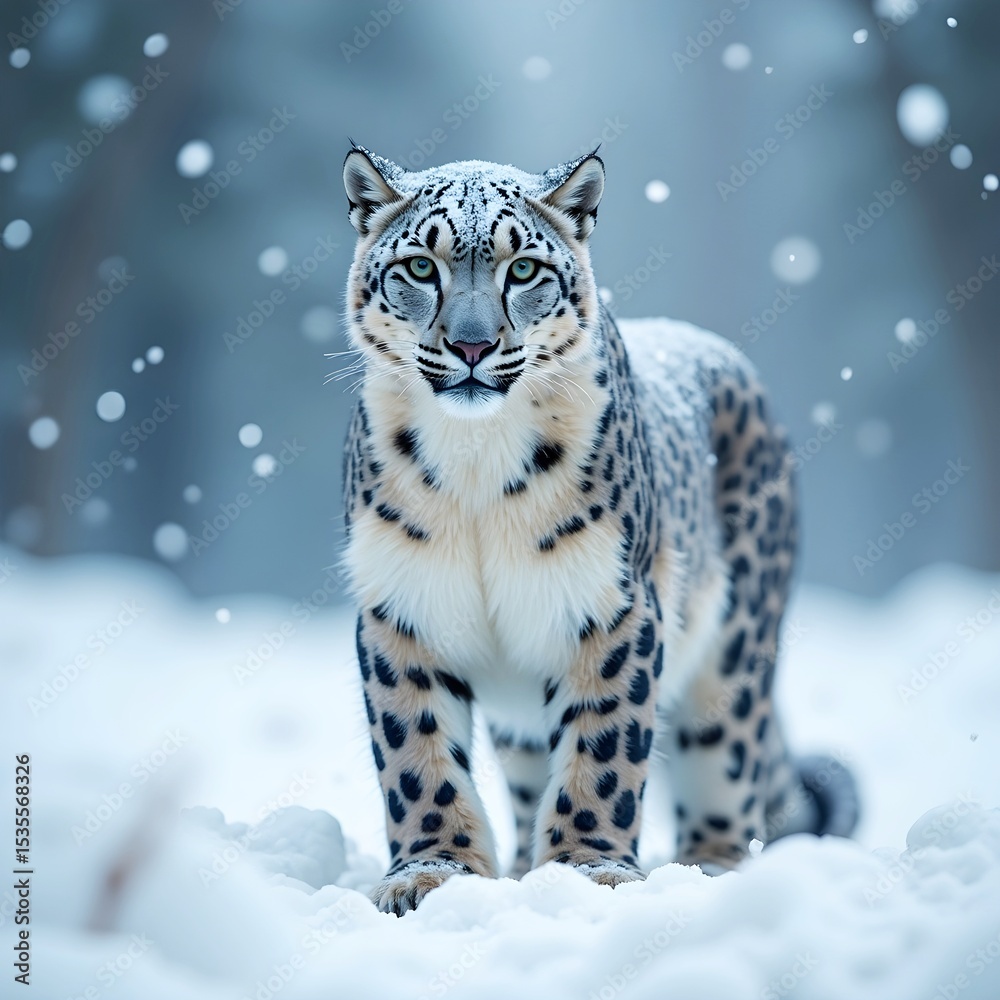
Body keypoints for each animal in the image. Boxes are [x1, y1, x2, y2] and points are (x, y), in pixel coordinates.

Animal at [338, 145, 859, 915]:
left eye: (524, 268)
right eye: (421, 267)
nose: (471, 345)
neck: (475, 464)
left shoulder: (611, 604)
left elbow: (604, 748)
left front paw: (591, 871)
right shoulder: (402, 603)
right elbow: (415, 752)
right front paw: (432, 872)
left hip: (734, 656)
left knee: (727, 764)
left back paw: (707, 871)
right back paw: (524, 869)